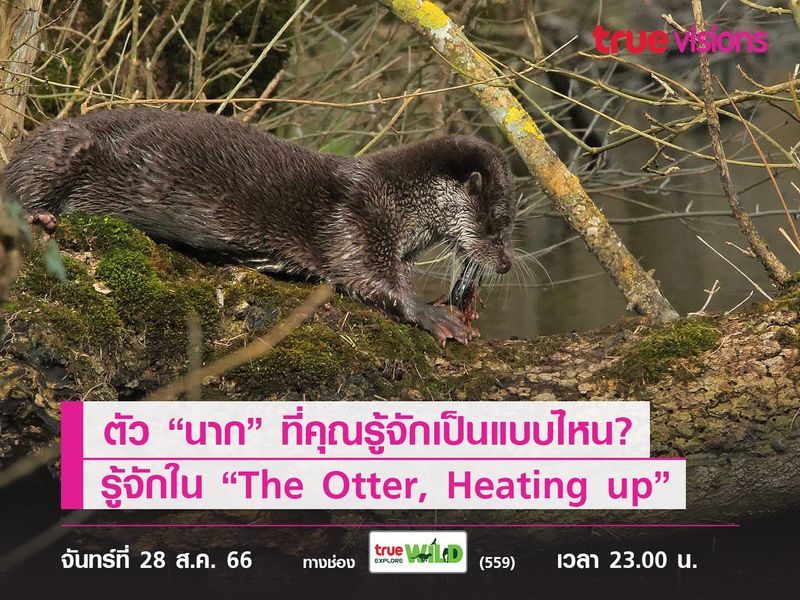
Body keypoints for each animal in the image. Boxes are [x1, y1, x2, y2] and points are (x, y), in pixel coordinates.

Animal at [2, 108, 516, 344]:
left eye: (510, 227)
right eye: (495, 225)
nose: (507, 264)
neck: (398, 199)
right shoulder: (358, 219)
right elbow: (367, 275)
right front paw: (434, 315)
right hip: (61, 147)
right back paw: (40, 216)